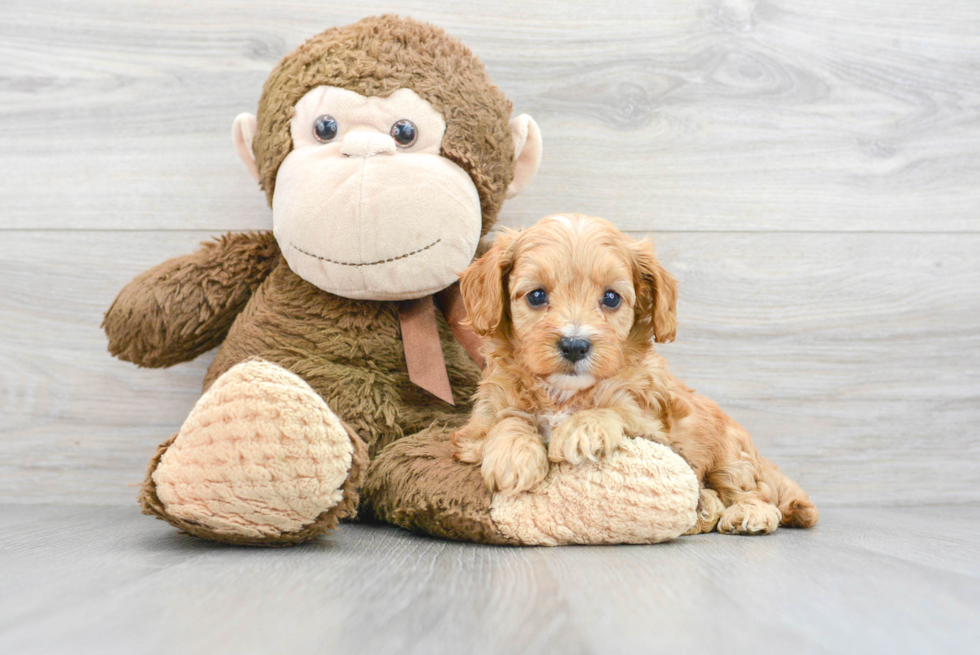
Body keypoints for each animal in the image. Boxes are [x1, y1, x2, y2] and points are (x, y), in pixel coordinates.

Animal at [454, 213, 820, 536]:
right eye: (537, 295)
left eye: (611, 298)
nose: (574, 345)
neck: (563, 394)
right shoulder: (479, 422)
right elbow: (506, 418)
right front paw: (513, 455)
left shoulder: (652, 425)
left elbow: (614, 410)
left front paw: (581, 429)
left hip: (730, 455)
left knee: (751, 490)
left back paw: (749, 513)